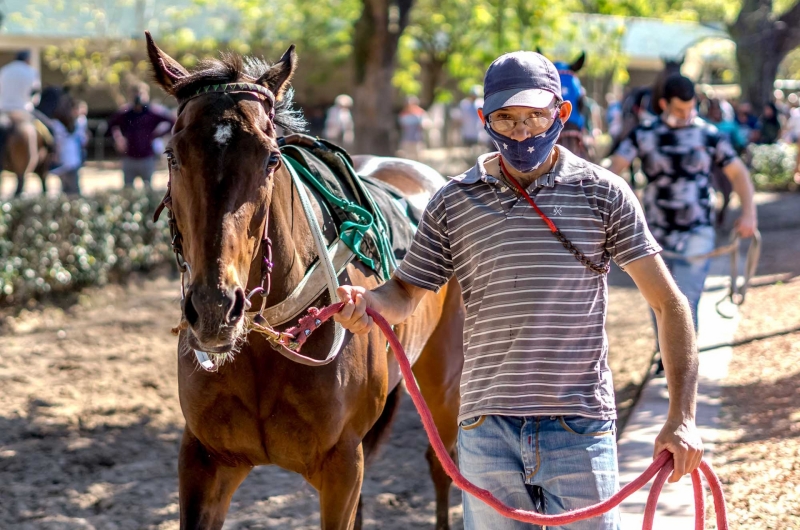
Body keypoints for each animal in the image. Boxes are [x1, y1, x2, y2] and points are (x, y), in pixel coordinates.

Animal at [145, 34, 462, 528]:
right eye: (172, 155)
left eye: (272, 158)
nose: (215, 308)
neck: (261, 346)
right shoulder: (204, 458)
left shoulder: (340, 466)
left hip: (443, 378)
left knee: (441, 463)